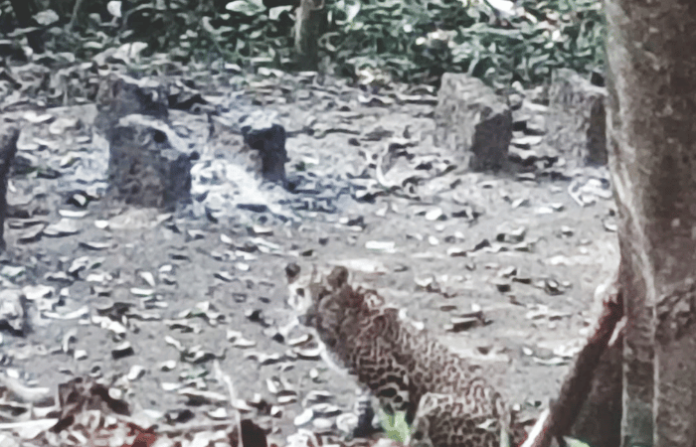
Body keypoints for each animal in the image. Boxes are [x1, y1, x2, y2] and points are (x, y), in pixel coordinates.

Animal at [287, 264, 528, 447]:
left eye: (324, 294)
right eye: (300, 292)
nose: (307, 314)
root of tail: (515, 429)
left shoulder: (391, 380)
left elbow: (397, 419)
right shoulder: (364, 377)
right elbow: (363, 404)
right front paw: (359, 429)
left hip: (432, 402)